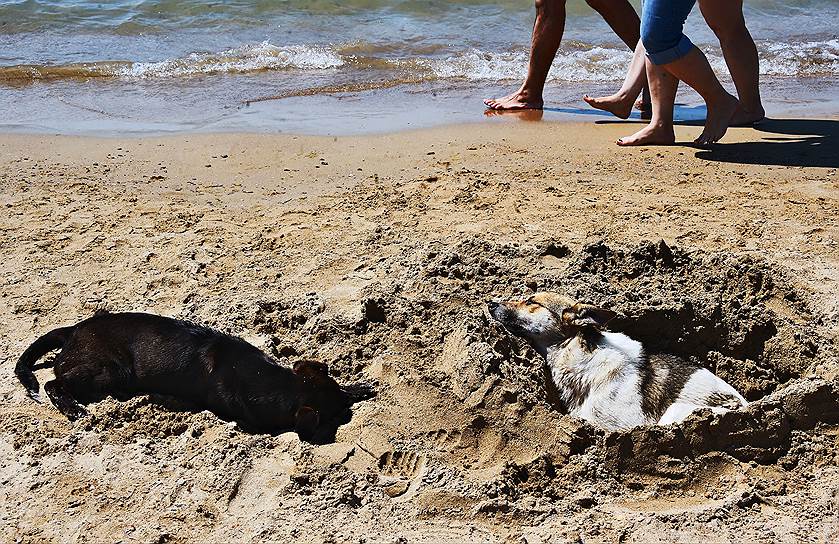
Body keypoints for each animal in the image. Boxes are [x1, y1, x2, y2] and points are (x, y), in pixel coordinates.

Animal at [13, 310, 372, 438]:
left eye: (343, 400)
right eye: (339, 415)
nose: (349, 407)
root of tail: (73, 330)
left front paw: (361, 386)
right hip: (109, 370)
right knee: (53, 382)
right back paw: (73, 408)